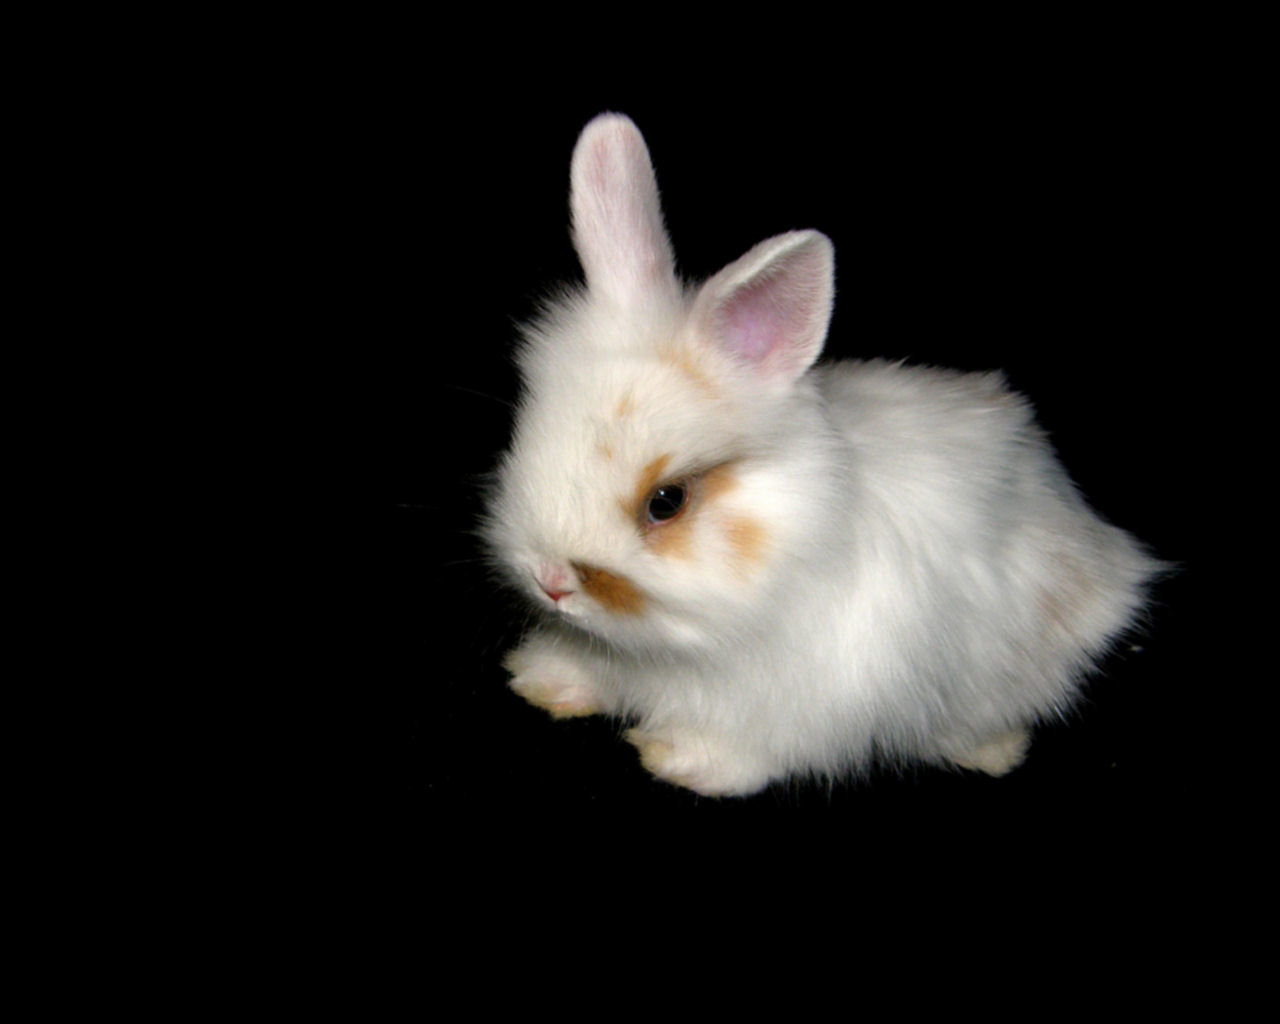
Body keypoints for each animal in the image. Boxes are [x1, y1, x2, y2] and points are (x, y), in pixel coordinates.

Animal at [483, 113, 1161, 797]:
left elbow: (747, 746)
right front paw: (544, 681)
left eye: (666, 501)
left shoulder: (800, 702)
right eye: (524, 438)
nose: (551, 582)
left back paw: (988, 752)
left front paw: (678, 757)